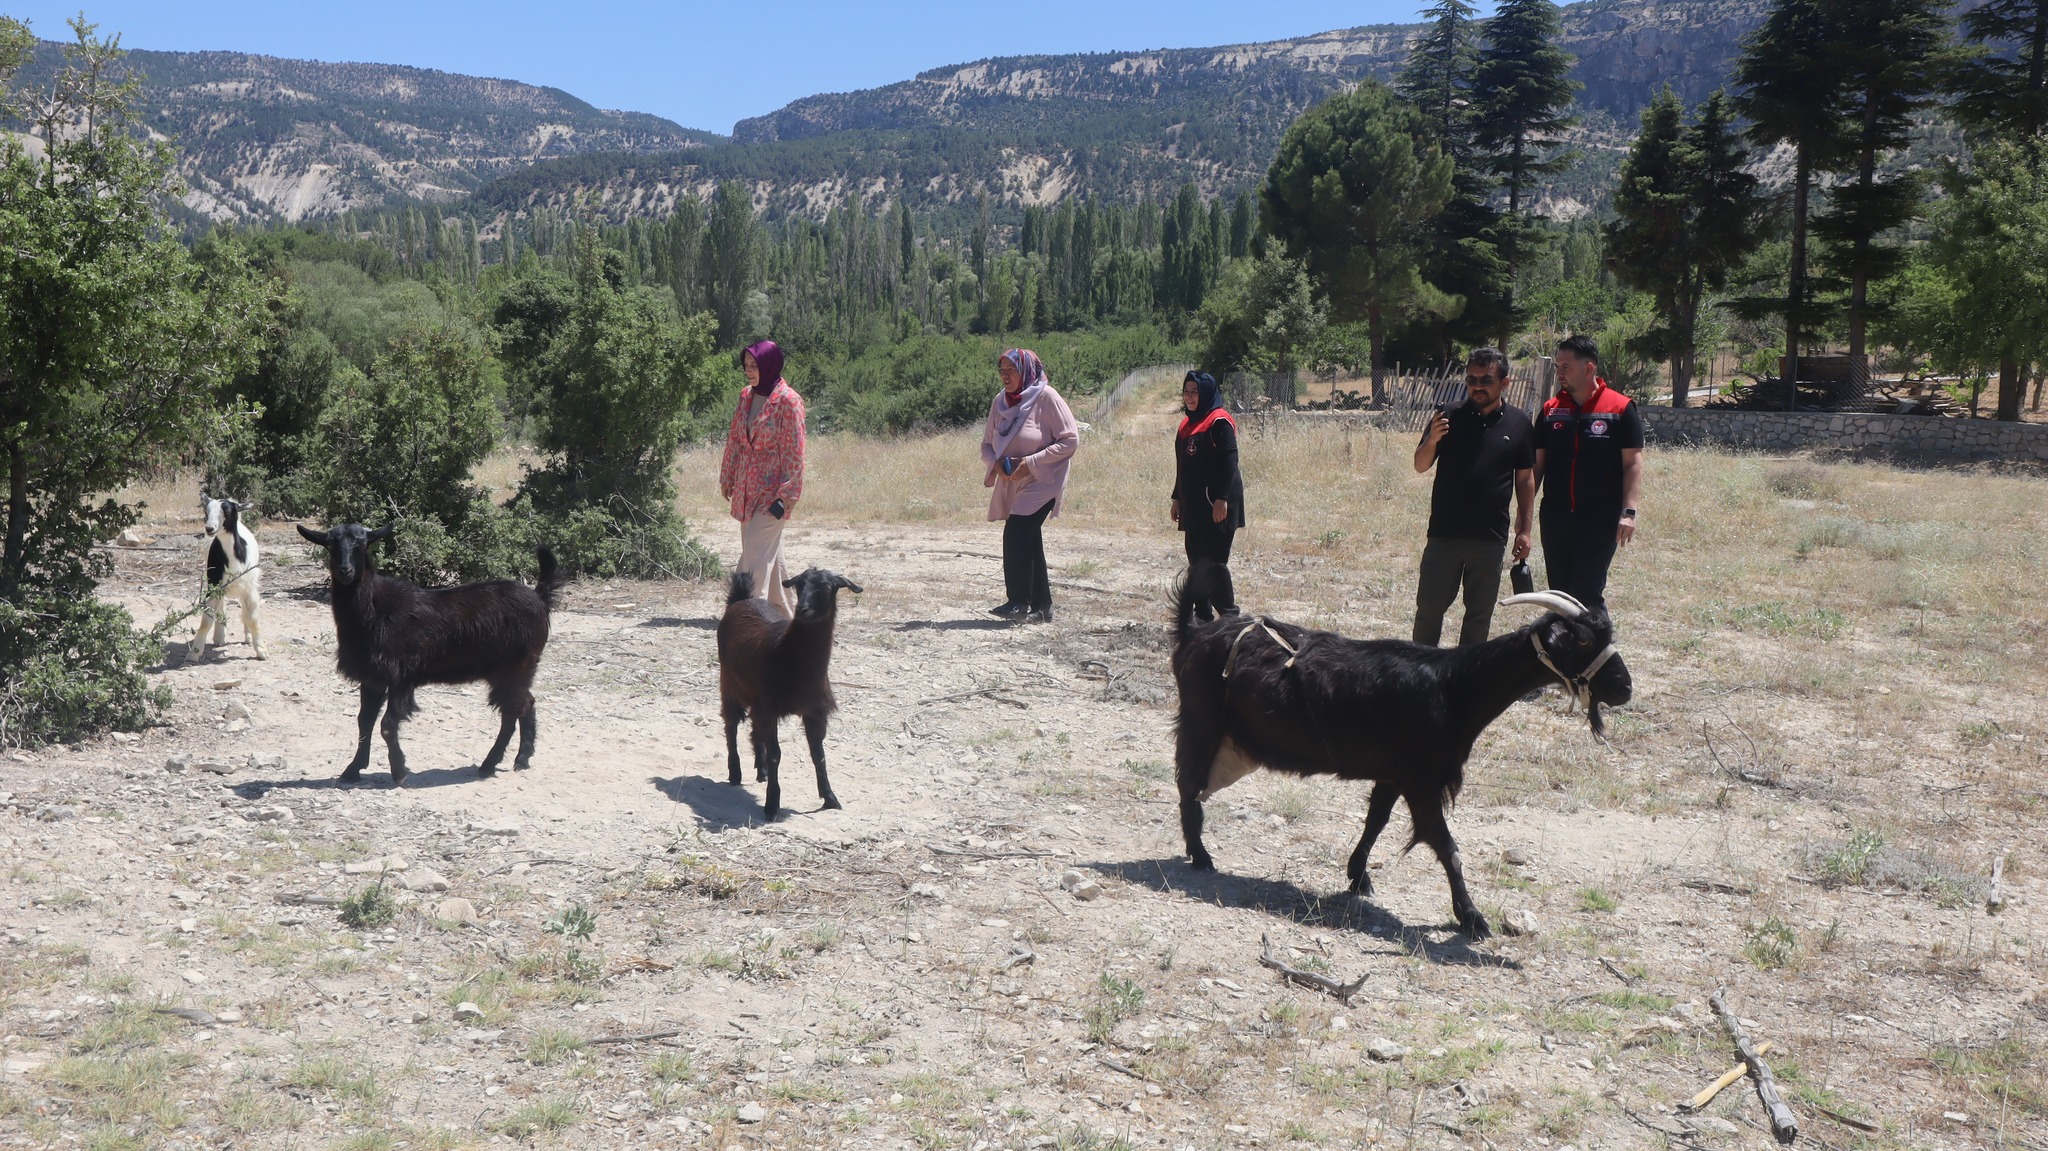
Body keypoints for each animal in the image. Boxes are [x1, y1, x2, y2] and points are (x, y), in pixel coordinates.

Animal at [190, 495, 265, 660]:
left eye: (228, 511)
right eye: (206, 511)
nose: (209, 528)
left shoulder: (249, 586)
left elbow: (252, 617)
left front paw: (261, 650)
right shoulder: (214, 585)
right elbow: (206, 620)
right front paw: (194, 653)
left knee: (244, 609)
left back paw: (247, 637)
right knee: (221, 606)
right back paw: (219, 637)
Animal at [296, 523, 561, 786]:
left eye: (361, 546)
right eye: (330, 546)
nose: (345, 571)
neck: (375, 611)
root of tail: (539, 598)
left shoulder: (401, 676)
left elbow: (387, 724)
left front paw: (399, 771)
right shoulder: (373, 677)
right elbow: (364, 722)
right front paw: (353, 770)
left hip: (515, 666)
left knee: (511, 712)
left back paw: (488, 764)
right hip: (514, 671)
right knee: (527, 703)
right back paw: (522, 758)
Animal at [717, 567, 862, 819]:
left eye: (827, 587)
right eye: (799, 585)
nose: (802, 609)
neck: (785, 653)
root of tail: (740, 600)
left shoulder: (814, 710)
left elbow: (819, 755)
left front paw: (830, 798)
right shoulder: (769, 708)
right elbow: (776, 754)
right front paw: (772, 805)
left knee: (754, 730)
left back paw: (762, 770)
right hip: (729, 682)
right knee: (731, 725)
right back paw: (735, 773)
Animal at [1170, 574, 1631, 938]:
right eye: (1583, 639)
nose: (1625, 688)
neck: (1454, 687)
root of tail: (1192, 633)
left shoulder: (1393, 774)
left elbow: (1376, 822)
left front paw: (1358, 878)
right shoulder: (1421, 779)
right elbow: (1447, 846)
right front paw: (1472, 918)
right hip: (1201, 721)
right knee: (1187, 785)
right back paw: (1201, 856)